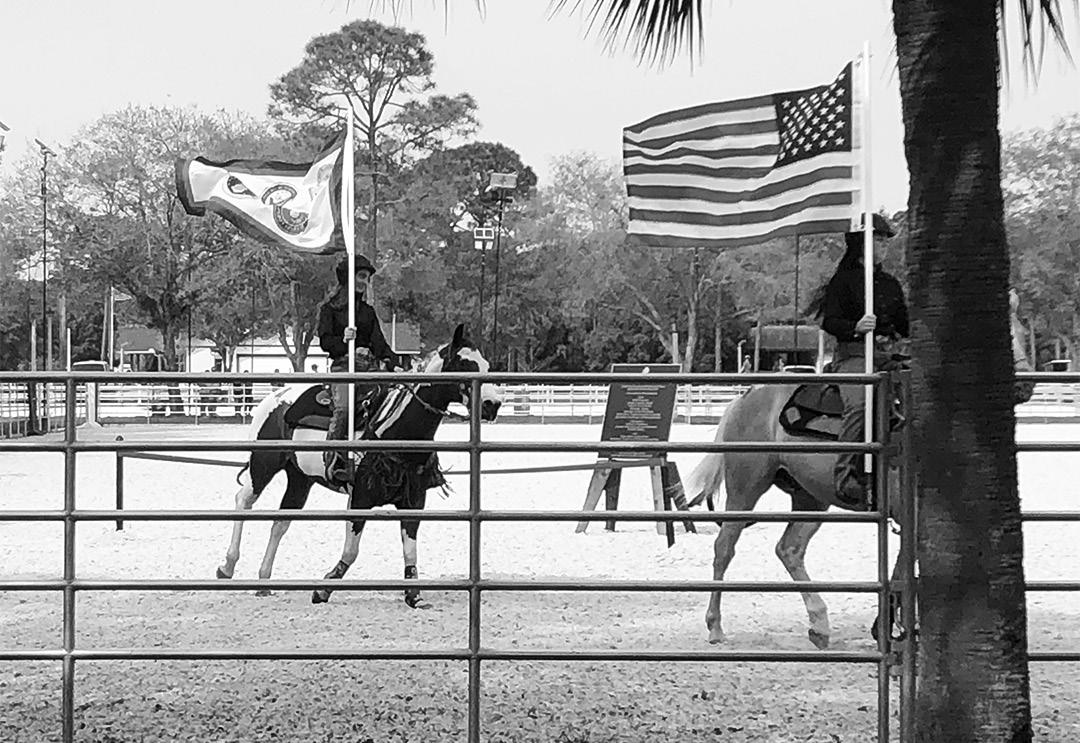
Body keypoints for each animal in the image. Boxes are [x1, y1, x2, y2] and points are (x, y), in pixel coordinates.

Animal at [214, 323, 502, 608]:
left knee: (280, 523)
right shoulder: (360, 498)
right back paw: (227, 566)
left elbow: (410, 548)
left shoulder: (414, 500)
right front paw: (325, 588)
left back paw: (264, 580)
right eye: (464, 363)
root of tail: (277, 396)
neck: (396, 429)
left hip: (299, 479)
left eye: (486, 365)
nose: (493, 404)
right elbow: (352, 550)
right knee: (243, 501)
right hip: (262, 464)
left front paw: (414, 594)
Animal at [685, 308, 1034, 648]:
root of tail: (744, 398)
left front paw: (891, 628)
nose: (1024, 384)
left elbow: (903, 570)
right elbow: (903, 569)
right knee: (724, 548)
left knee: (790, 549)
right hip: (746, 490)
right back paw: (715, 626)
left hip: (811, 498)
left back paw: (819, 625)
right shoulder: (911, 515)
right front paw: (891, 629)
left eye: (1021, 329)